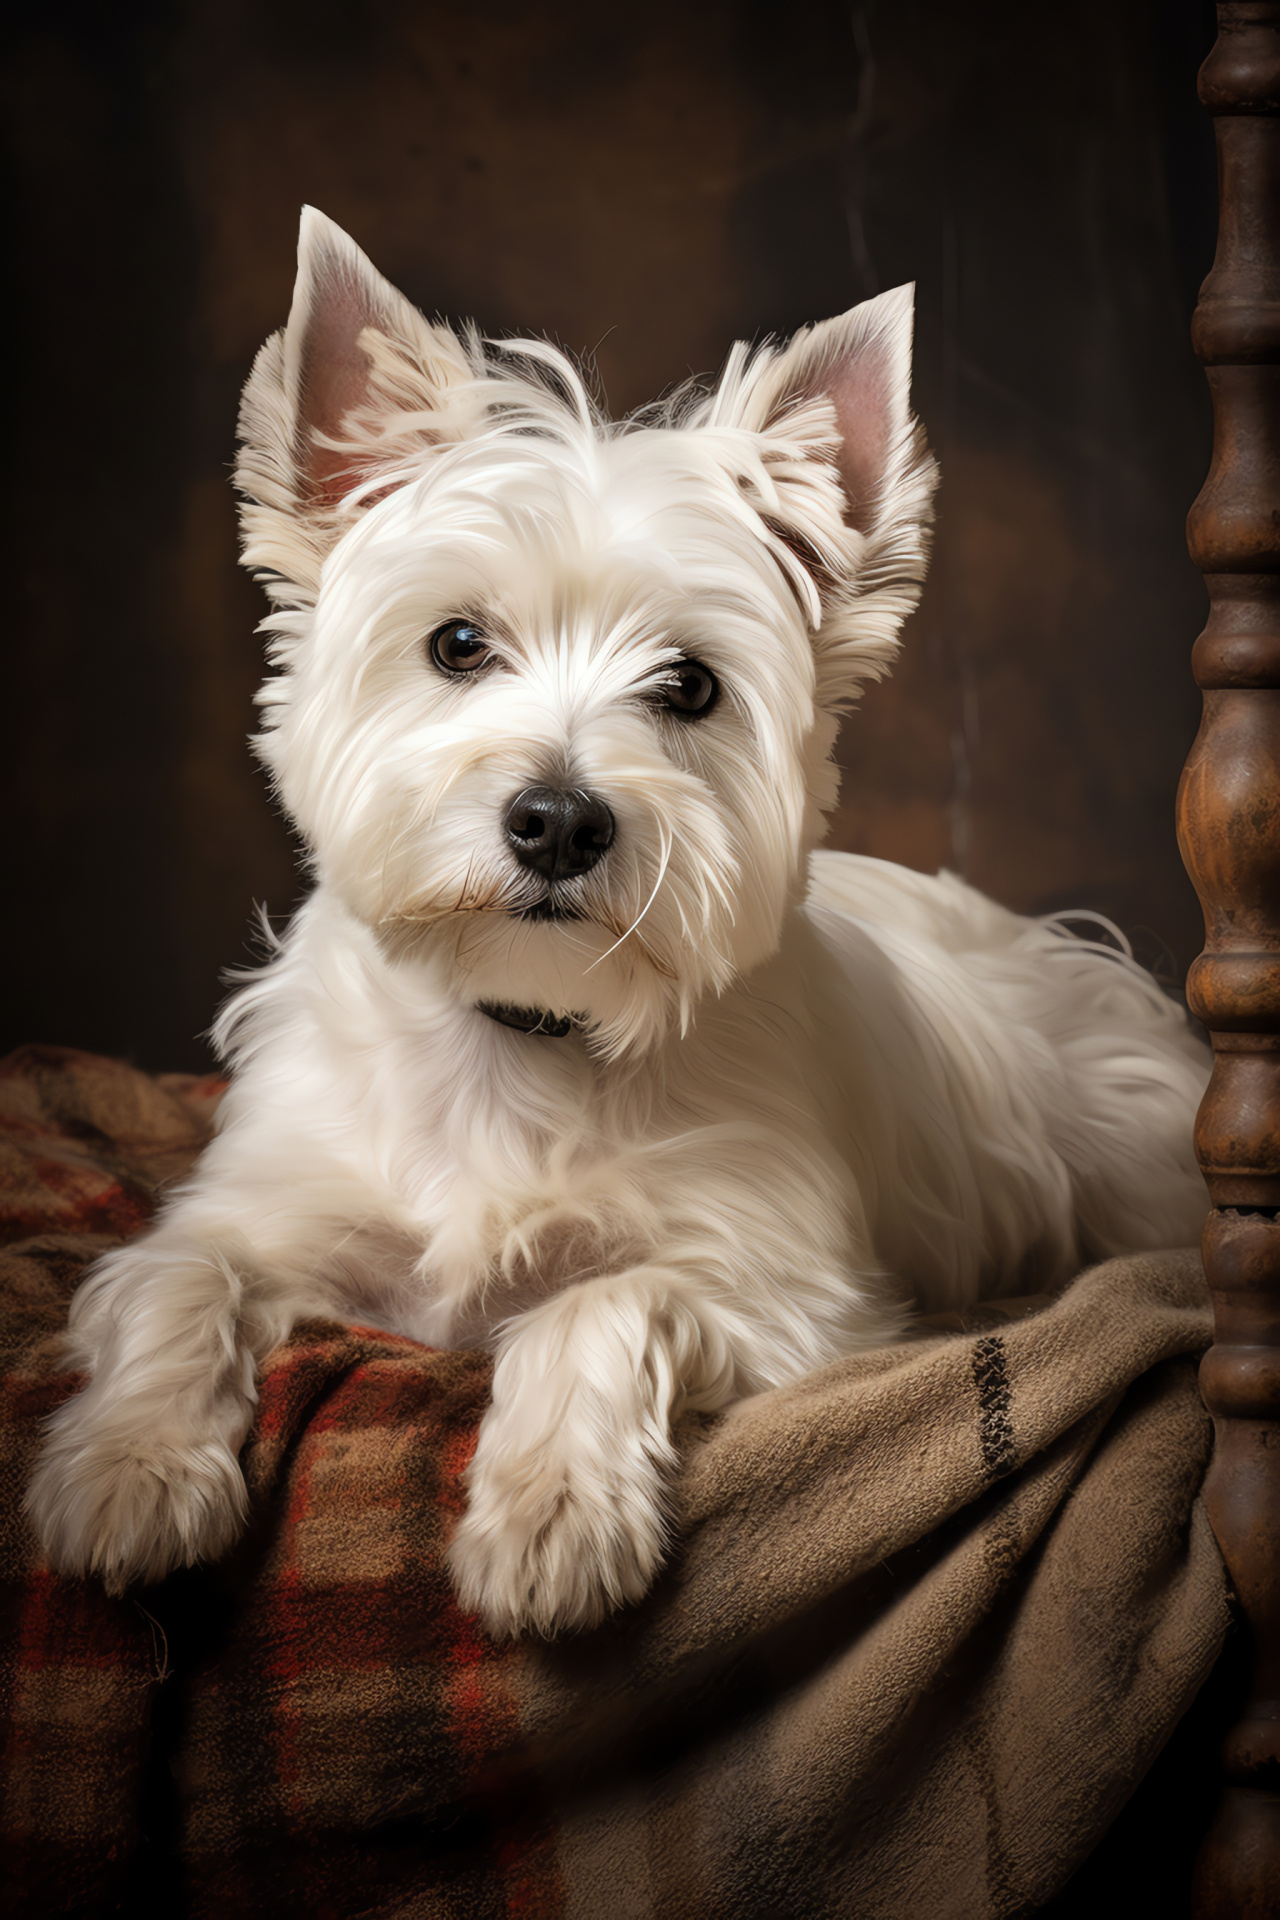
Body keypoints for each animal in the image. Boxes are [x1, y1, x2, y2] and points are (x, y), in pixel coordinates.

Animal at [29, 217, 1212, 1643]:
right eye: (457, 643)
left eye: (688, 685)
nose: (557, 822)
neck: (523, 1031)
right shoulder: (261, 1215)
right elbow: (176, 1280)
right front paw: (130, 1472)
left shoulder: (795, 1301)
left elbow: (595, 1300)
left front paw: (550, 1515)